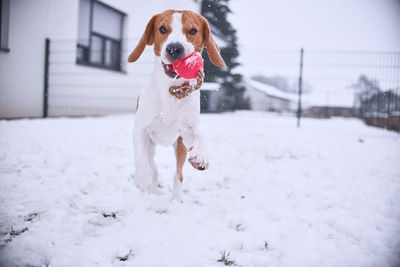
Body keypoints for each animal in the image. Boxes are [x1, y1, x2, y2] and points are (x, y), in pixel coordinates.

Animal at [127, 9, 225, 201]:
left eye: (193, 30)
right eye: (162, 29)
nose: (174, 48)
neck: (171, 92)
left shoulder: (187, 131)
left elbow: (200, 136)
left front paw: (201, 155)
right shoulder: (141, 129)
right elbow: (140, 159)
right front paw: (141, 179)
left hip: (180, 147)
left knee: (177, 174)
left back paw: (176, 199)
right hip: (151, 146)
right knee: (153, 168)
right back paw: (151, 189)